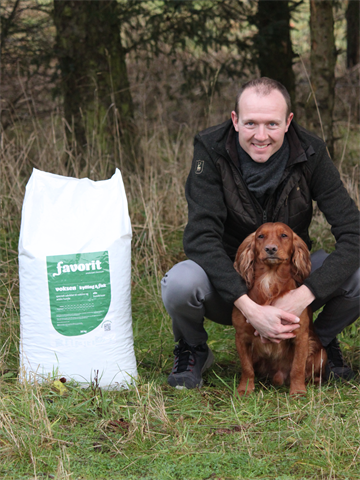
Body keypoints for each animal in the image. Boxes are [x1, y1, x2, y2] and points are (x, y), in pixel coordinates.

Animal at [232, 223, 328, 396]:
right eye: (260, 236)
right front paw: (245, 389)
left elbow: (297, 368)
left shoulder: (301, 336)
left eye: (284, 235)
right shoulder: (241, 336)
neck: (270, 278)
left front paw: (298, 391)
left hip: (322, 354)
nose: (270, 249)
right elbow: (247, 368)